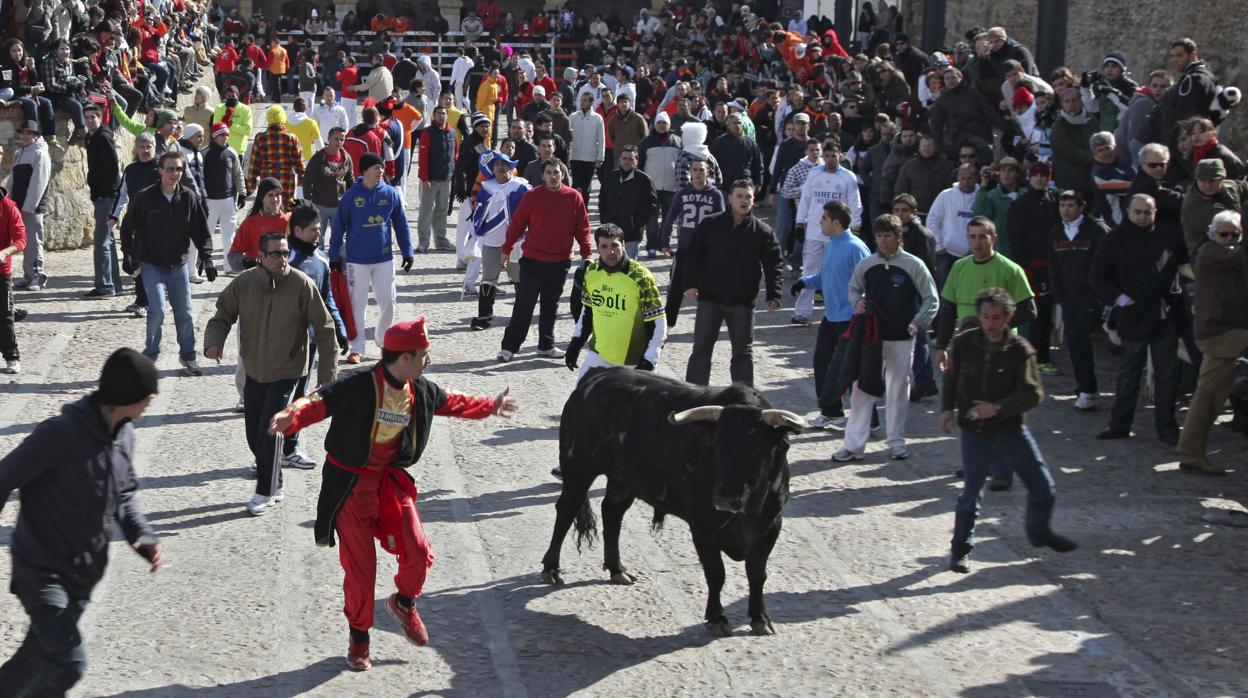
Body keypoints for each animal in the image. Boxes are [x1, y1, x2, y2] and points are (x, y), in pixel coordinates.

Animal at [541, 369, 803, 636]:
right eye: (717, 447)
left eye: (756, 450)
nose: (725, 499)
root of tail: (598, 375)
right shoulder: (702, 527)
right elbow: (716, 573)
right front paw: (716, 618)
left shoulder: (771, 525)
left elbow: (757, 574)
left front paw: (760, 618)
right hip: (579, 470)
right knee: (566, 511)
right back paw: (551, 568)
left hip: (623, 479)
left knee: (612, 512)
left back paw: (617, 569)